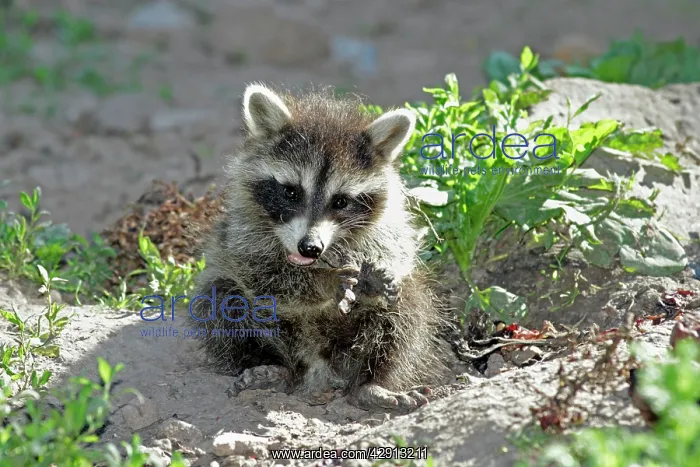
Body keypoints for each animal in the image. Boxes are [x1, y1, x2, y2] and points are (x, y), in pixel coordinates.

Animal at [188, 83, 448, 412]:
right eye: (290, 192)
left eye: (340, 201)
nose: (310, 248)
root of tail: (316, 369)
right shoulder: (241, 231)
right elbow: (260, 273)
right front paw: (323, 283)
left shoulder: (389, 227)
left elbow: (397, 254)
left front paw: (369, 277)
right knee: (222, 298)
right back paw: (269, 366)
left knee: (405, 309)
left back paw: (372, 383)